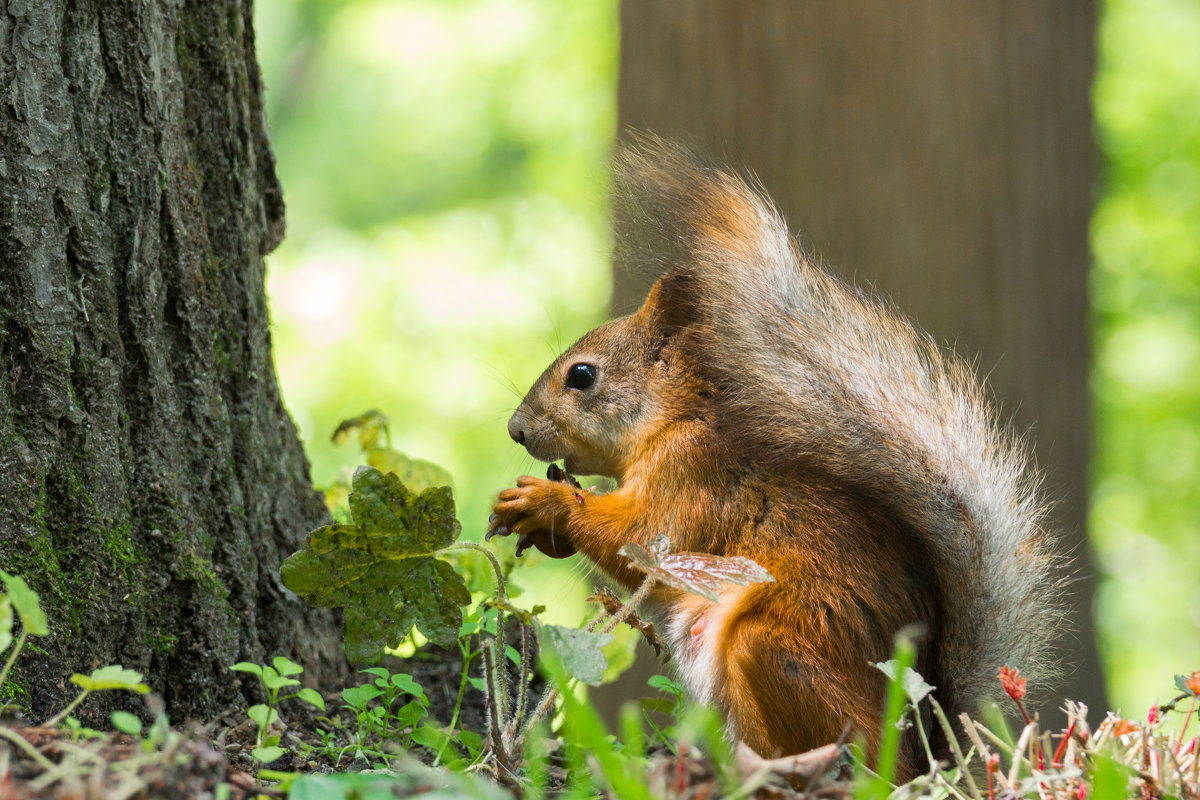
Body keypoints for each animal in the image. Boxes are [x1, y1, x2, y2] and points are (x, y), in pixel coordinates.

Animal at [484, 139, 1060, 777]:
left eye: (582, 376)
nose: (515, 430)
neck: (673, 421)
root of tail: (921, 754)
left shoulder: (690, 478)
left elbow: (640, 539)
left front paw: (547, 501)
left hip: (773, 651)